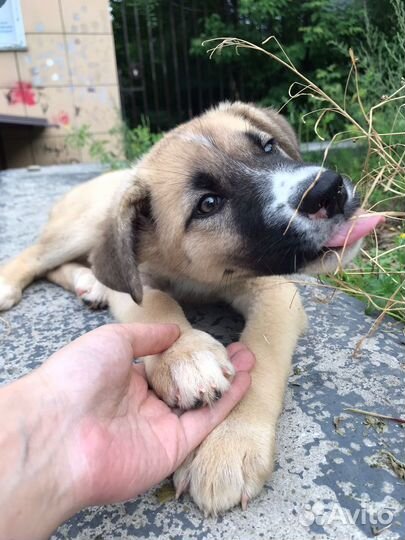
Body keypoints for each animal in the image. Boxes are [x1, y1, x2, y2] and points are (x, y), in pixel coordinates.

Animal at [0, 101, 380, 516]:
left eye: (267, 147)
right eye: (208, 205)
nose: (329, 189)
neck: (199, 278)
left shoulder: (276, 291)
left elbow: (260, 354)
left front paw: (228, 441)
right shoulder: (136, 284)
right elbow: (159, 305)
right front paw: (186, 356)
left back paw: (90, 282)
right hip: (86, 226)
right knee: (36, 256)